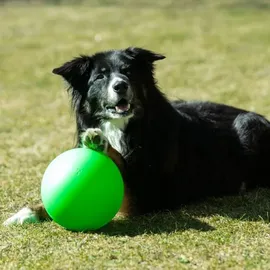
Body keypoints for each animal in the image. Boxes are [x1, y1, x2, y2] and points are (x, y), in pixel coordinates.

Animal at [3, 47, 270, 226]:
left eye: (128, 72)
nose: (120, 85)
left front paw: (100, 142)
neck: (124, 127)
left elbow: (123, 174)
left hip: (249, 124)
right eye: (100, 76)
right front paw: (28, 212)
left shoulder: (151, 194)